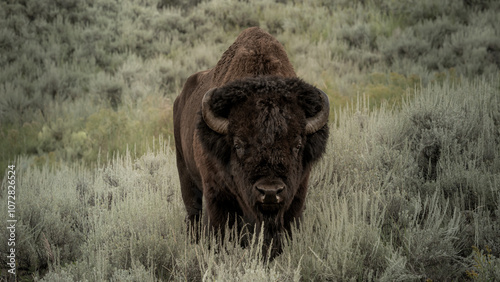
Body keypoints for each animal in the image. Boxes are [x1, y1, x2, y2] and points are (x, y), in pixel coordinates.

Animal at [174, 27, 330, 258]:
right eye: (238, 145)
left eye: (297, 146)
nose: (270, 192)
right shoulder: (215, 195)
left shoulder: (297, 194)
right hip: (186, 175)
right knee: (193, 214)